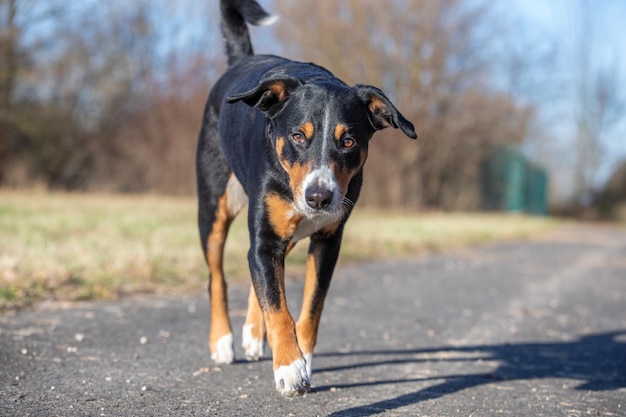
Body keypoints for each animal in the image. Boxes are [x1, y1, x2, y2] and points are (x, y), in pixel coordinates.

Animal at [196, 0, 414, 396]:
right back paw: (222, 341)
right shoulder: (266, 237)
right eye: (298, 135)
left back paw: (252, 334)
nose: (319, 197)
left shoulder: (326, 241)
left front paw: (302, 358)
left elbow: (308, 306)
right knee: (217, 276)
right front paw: (289, 367)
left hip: (291, 229)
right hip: (214, 207)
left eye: (348, 141)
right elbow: (277, 306)